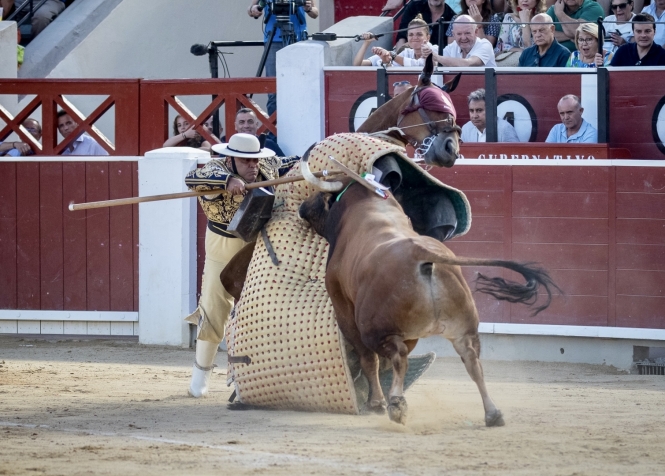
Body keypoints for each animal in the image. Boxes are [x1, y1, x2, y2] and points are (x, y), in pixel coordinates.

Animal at [298, 158, 556, 426]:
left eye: (319, 195)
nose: (301, 208)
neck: (365, 205)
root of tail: (421, 254)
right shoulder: (410, 333)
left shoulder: (344, 309)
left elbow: (370, 360)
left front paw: (376, 403)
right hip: (463, 328)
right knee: (472, 361)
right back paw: (492, 413)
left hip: (374, 329)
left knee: (397, 356)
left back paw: (396, 405)